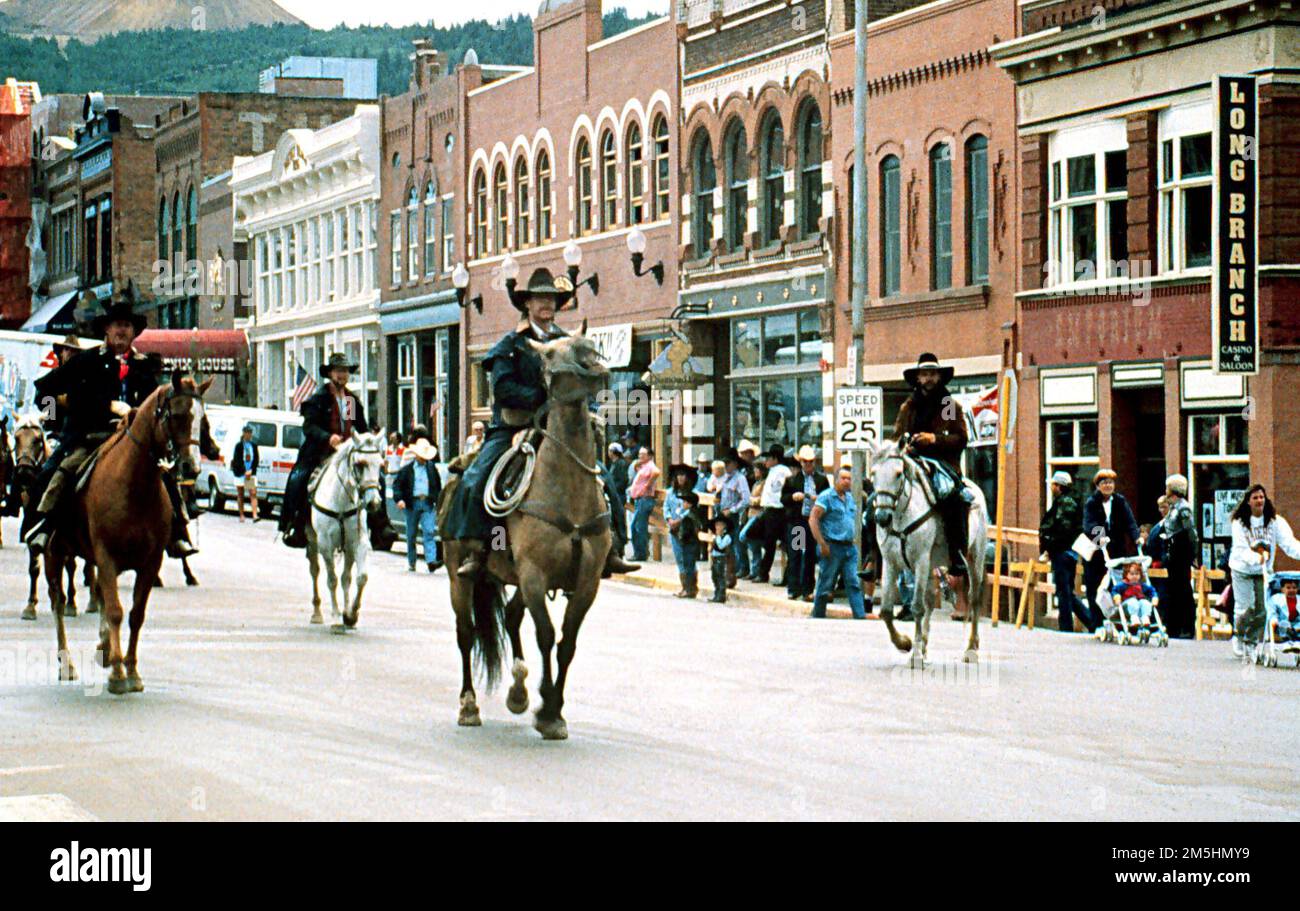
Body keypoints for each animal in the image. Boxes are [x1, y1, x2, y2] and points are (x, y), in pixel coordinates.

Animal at [45, 374, 210, 691]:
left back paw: (104, 647)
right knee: (57, 601)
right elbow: (115, 611)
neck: (135, 486)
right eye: (178, 415)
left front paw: (131, 670)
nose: (192, 467)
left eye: (202, 419)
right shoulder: (107, 557)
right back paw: (67, 663)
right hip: (54, 552)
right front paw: (118, 675)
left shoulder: (150, 563)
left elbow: (135, 614)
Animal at [444, 332, 611, 738]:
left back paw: (518, 692)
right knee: (465, 632)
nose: (603, 370)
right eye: (550, 356)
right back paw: (469, 705)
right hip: (460, 577)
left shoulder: (587, 583)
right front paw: (547, 709)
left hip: (515, 578)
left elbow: (567, 643)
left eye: (590, 346)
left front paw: (553, 709)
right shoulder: (535, 575)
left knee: (511, 617)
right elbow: (547, 635)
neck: (568, 489)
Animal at [868, 436, 987, 665]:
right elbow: (886, 610)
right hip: (933, 565)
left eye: (898, 474)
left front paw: (914, 654)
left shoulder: (920, 560)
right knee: (931, 599)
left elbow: (916, 606)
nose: (882, 518)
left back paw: (972, 649)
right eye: (873, 473)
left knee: (974, 598)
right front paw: (905, 644)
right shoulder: (890, 562)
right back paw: (923, 645)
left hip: (974, 557)